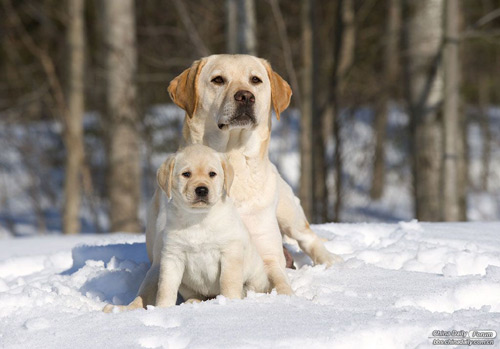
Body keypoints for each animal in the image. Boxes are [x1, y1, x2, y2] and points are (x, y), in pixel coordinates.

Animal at [102, 143, 272, 310]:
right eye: (186, 174)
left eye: (212, 174)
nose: (202, 190)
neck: (198, 219)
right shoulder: (172, 256)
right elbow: (166, 287)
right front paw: (164, 307)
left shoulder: (230, 252)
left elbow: (228, 281)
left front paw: (229, 301)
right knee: (195, 295)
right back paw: (191, 303)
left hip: (255, 276)